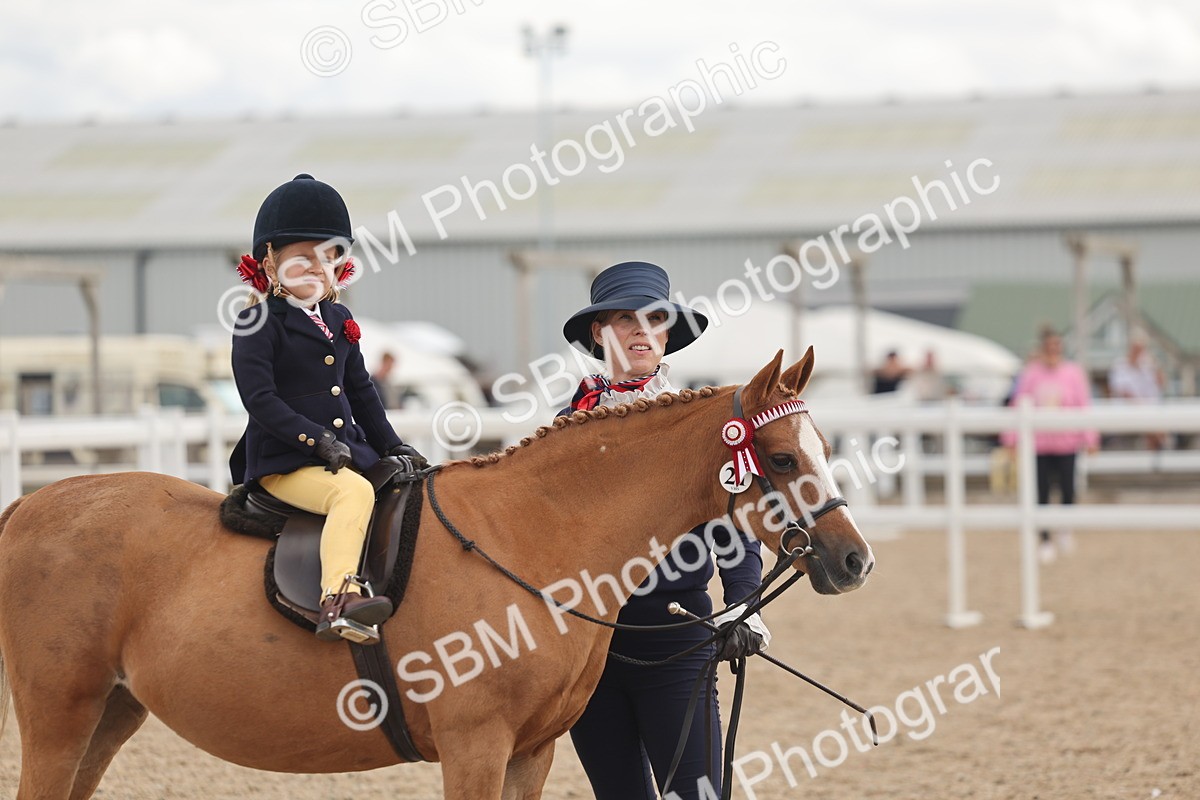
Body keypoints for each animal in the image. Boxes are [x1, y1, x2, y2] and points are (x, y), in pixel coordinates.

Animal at [0, 349, 873, 799]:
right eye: (784, 458)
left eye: (825, 447)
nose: (854, 558)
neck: (532, 536)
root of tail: (29, 507)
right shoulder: (475, 746)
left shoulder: (530, 753)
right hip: (60, 717)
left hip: (110, 713)